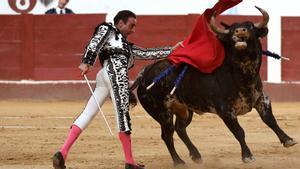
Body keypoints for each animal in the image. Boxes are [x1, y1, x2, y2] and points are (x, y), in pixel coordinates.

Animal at [133, 6, 298, 165]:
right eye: (231, 30)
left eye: (250, 26)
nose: (240, 31)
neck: (243, 75)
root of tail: (145, 72)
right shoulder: (225, 111)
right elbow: (239, 131)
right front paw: (247, 156)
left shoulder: (261, 99)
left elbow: (270, 120)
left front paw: (288, 140)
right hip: (162, 113)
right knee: (167, 135)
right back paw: (179, 161)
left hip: (184, 110)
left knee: (180, 129)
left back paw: (196, 156)